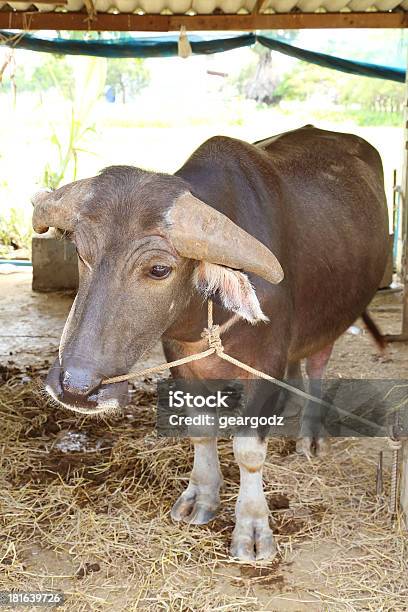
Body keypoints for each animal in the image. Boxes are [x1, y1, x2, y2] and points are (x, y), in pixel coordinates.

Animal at [32, 126, 388, 560]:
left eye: (159, 269)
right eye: (81, 253)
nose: (75, 387)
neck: (209, 310)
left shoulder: (265, 365)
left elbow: (248, 451)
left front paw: (252, 527)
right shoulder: (181, 359)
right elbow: (200, 429)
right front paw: (201, 495)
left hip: (334, 317)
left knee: (318, 362)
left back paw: (311, 435)